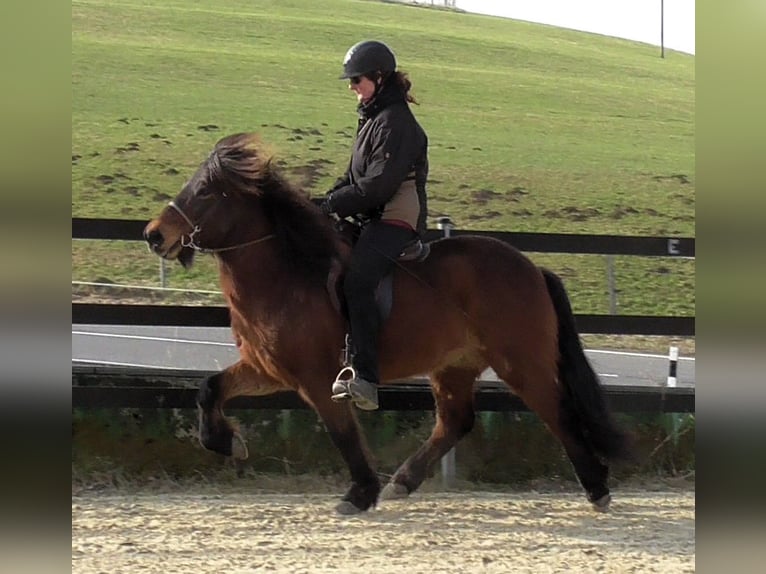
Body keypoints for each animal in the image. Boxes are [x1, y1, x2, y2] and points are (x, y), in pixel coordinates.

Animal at [143, 132, 631, 515]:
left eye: (206, 192)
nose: (154, 234)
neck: (287, 274)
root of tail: (532, 268)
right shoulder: (268, 370)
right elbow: (210, 388)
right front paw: (227, 442)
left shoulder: (316, 379)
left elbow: (342, 433)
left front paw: (360, 493)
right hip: (454, 365)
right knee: (456, 421)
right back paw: (404, 481)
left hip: (521, 362)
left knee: (558, 411)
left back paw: (597, 488)